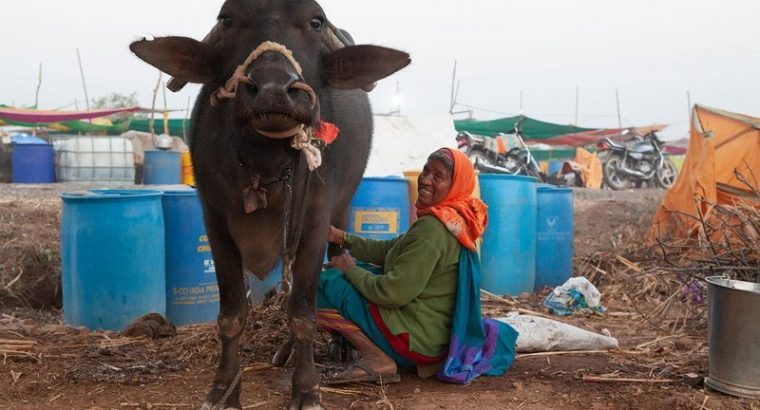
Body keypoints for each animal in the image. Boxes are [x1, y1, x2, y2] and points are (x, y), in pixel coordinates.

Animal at [129, 1, 410, 408]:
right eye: (228, 19)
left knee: (333, 267)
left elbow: (303, 312)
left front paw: (306, 389)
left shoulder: (314, 223)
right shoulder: (215, 223)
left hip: (341, 213)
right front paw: (223, 389)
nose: (274, 91)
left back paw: (338, 348)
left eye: (316, 21)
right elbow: (232, 314)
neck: (264, 162)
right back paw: (286, 353)